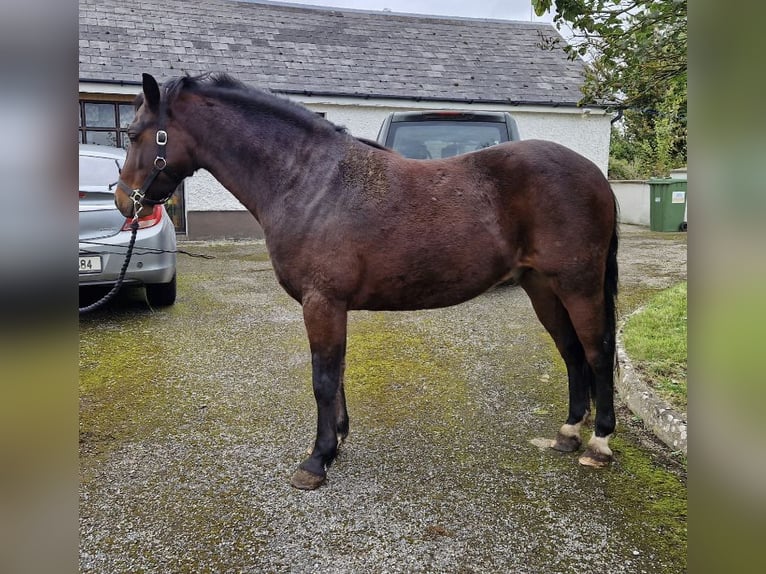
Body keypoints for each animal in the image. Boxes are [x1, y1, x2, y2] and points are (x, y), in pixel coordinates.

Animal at [121, 74, 624, 492]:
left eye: (132, 133)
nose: (124, 201)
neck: (308, 182)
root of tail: (595, 175)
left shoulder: (321, 302)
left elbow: (323, 378)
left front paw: (317, 460)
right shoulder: (328, 306)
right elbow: (336, 373)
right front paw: (337, 442)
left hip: (577, 284)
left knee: (597, 351)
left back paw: (599, 444)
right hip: (541, 286)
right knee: (571, 352)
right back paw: (568, 433)